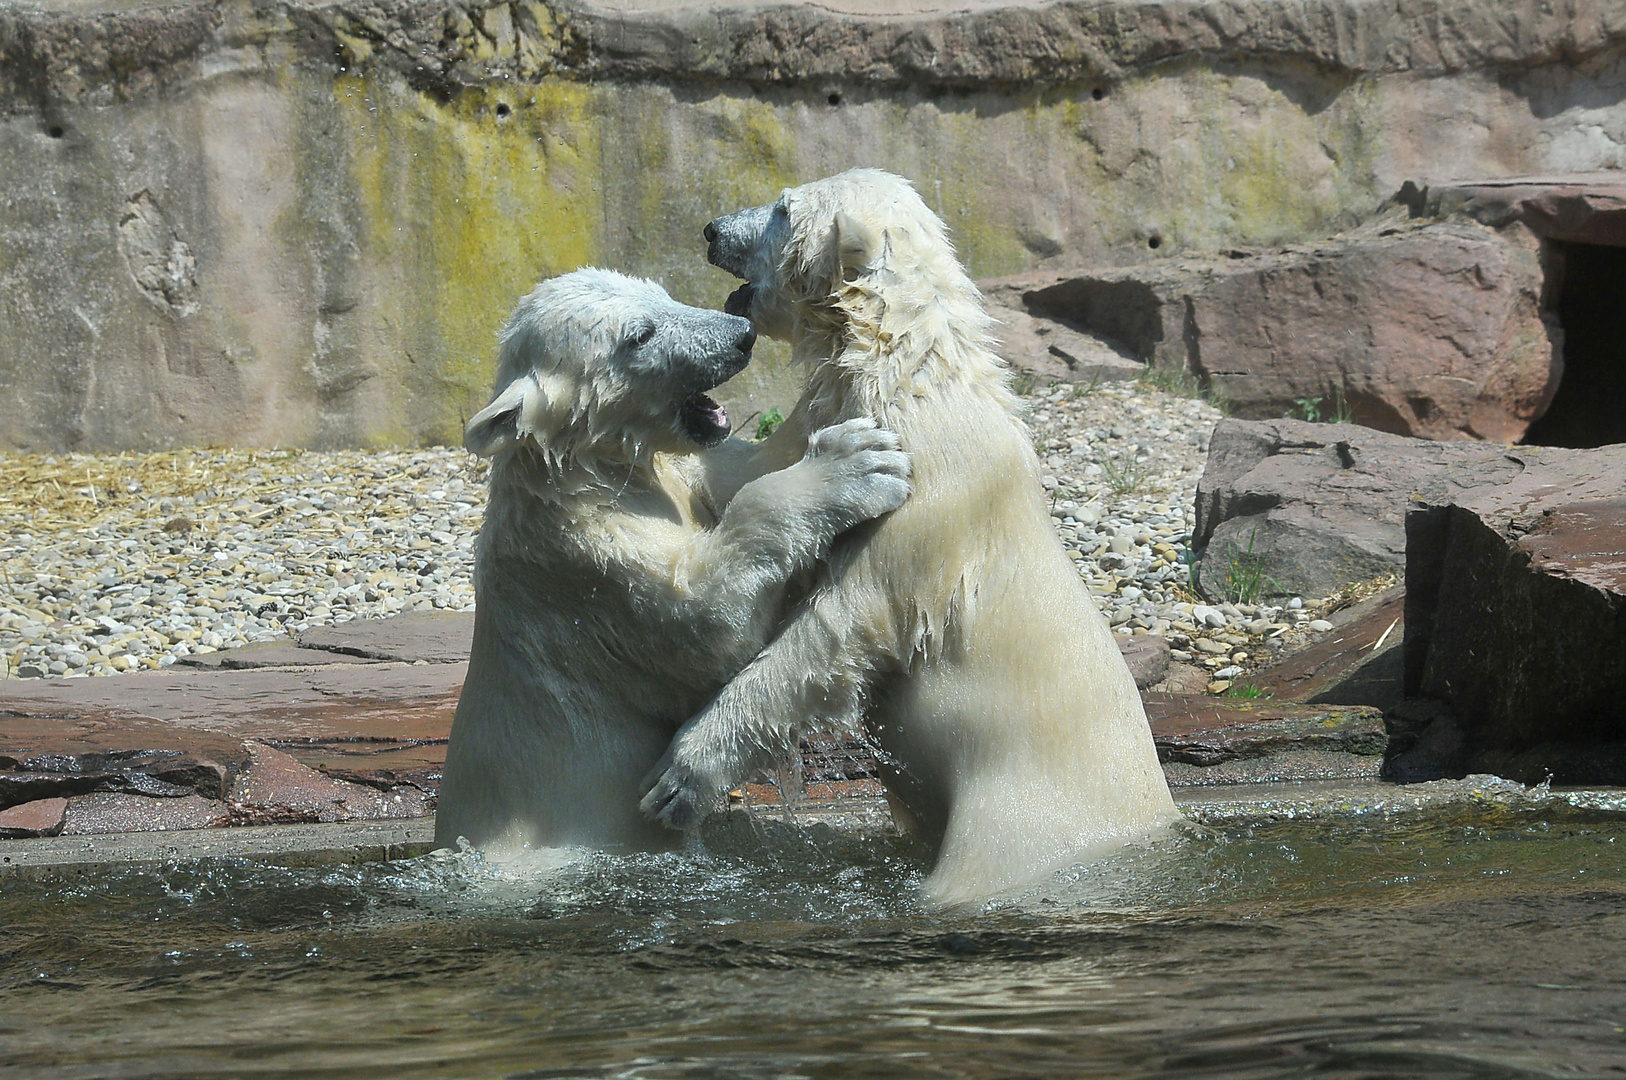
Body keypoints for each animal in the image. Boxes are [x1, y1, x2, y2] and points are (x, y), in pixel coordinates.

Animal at [432, 270, 917, 852]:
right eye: (640, 335)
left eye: (661, 294)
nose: (741, 336)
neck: (580, 474)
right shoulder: (588, 570)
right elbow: (710, 628)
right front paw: (856, 461)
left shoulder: (678, 474)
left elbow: (737, 469)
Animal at [640, 170, 1190, 904]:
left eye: (782, 209)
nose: (710, 230)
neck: (909, 382)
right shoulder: (822, 418)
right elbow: (753, 480)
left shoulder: (925, 507)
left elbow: (838, 629)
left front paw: (680, 776)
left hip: (1019, 814)